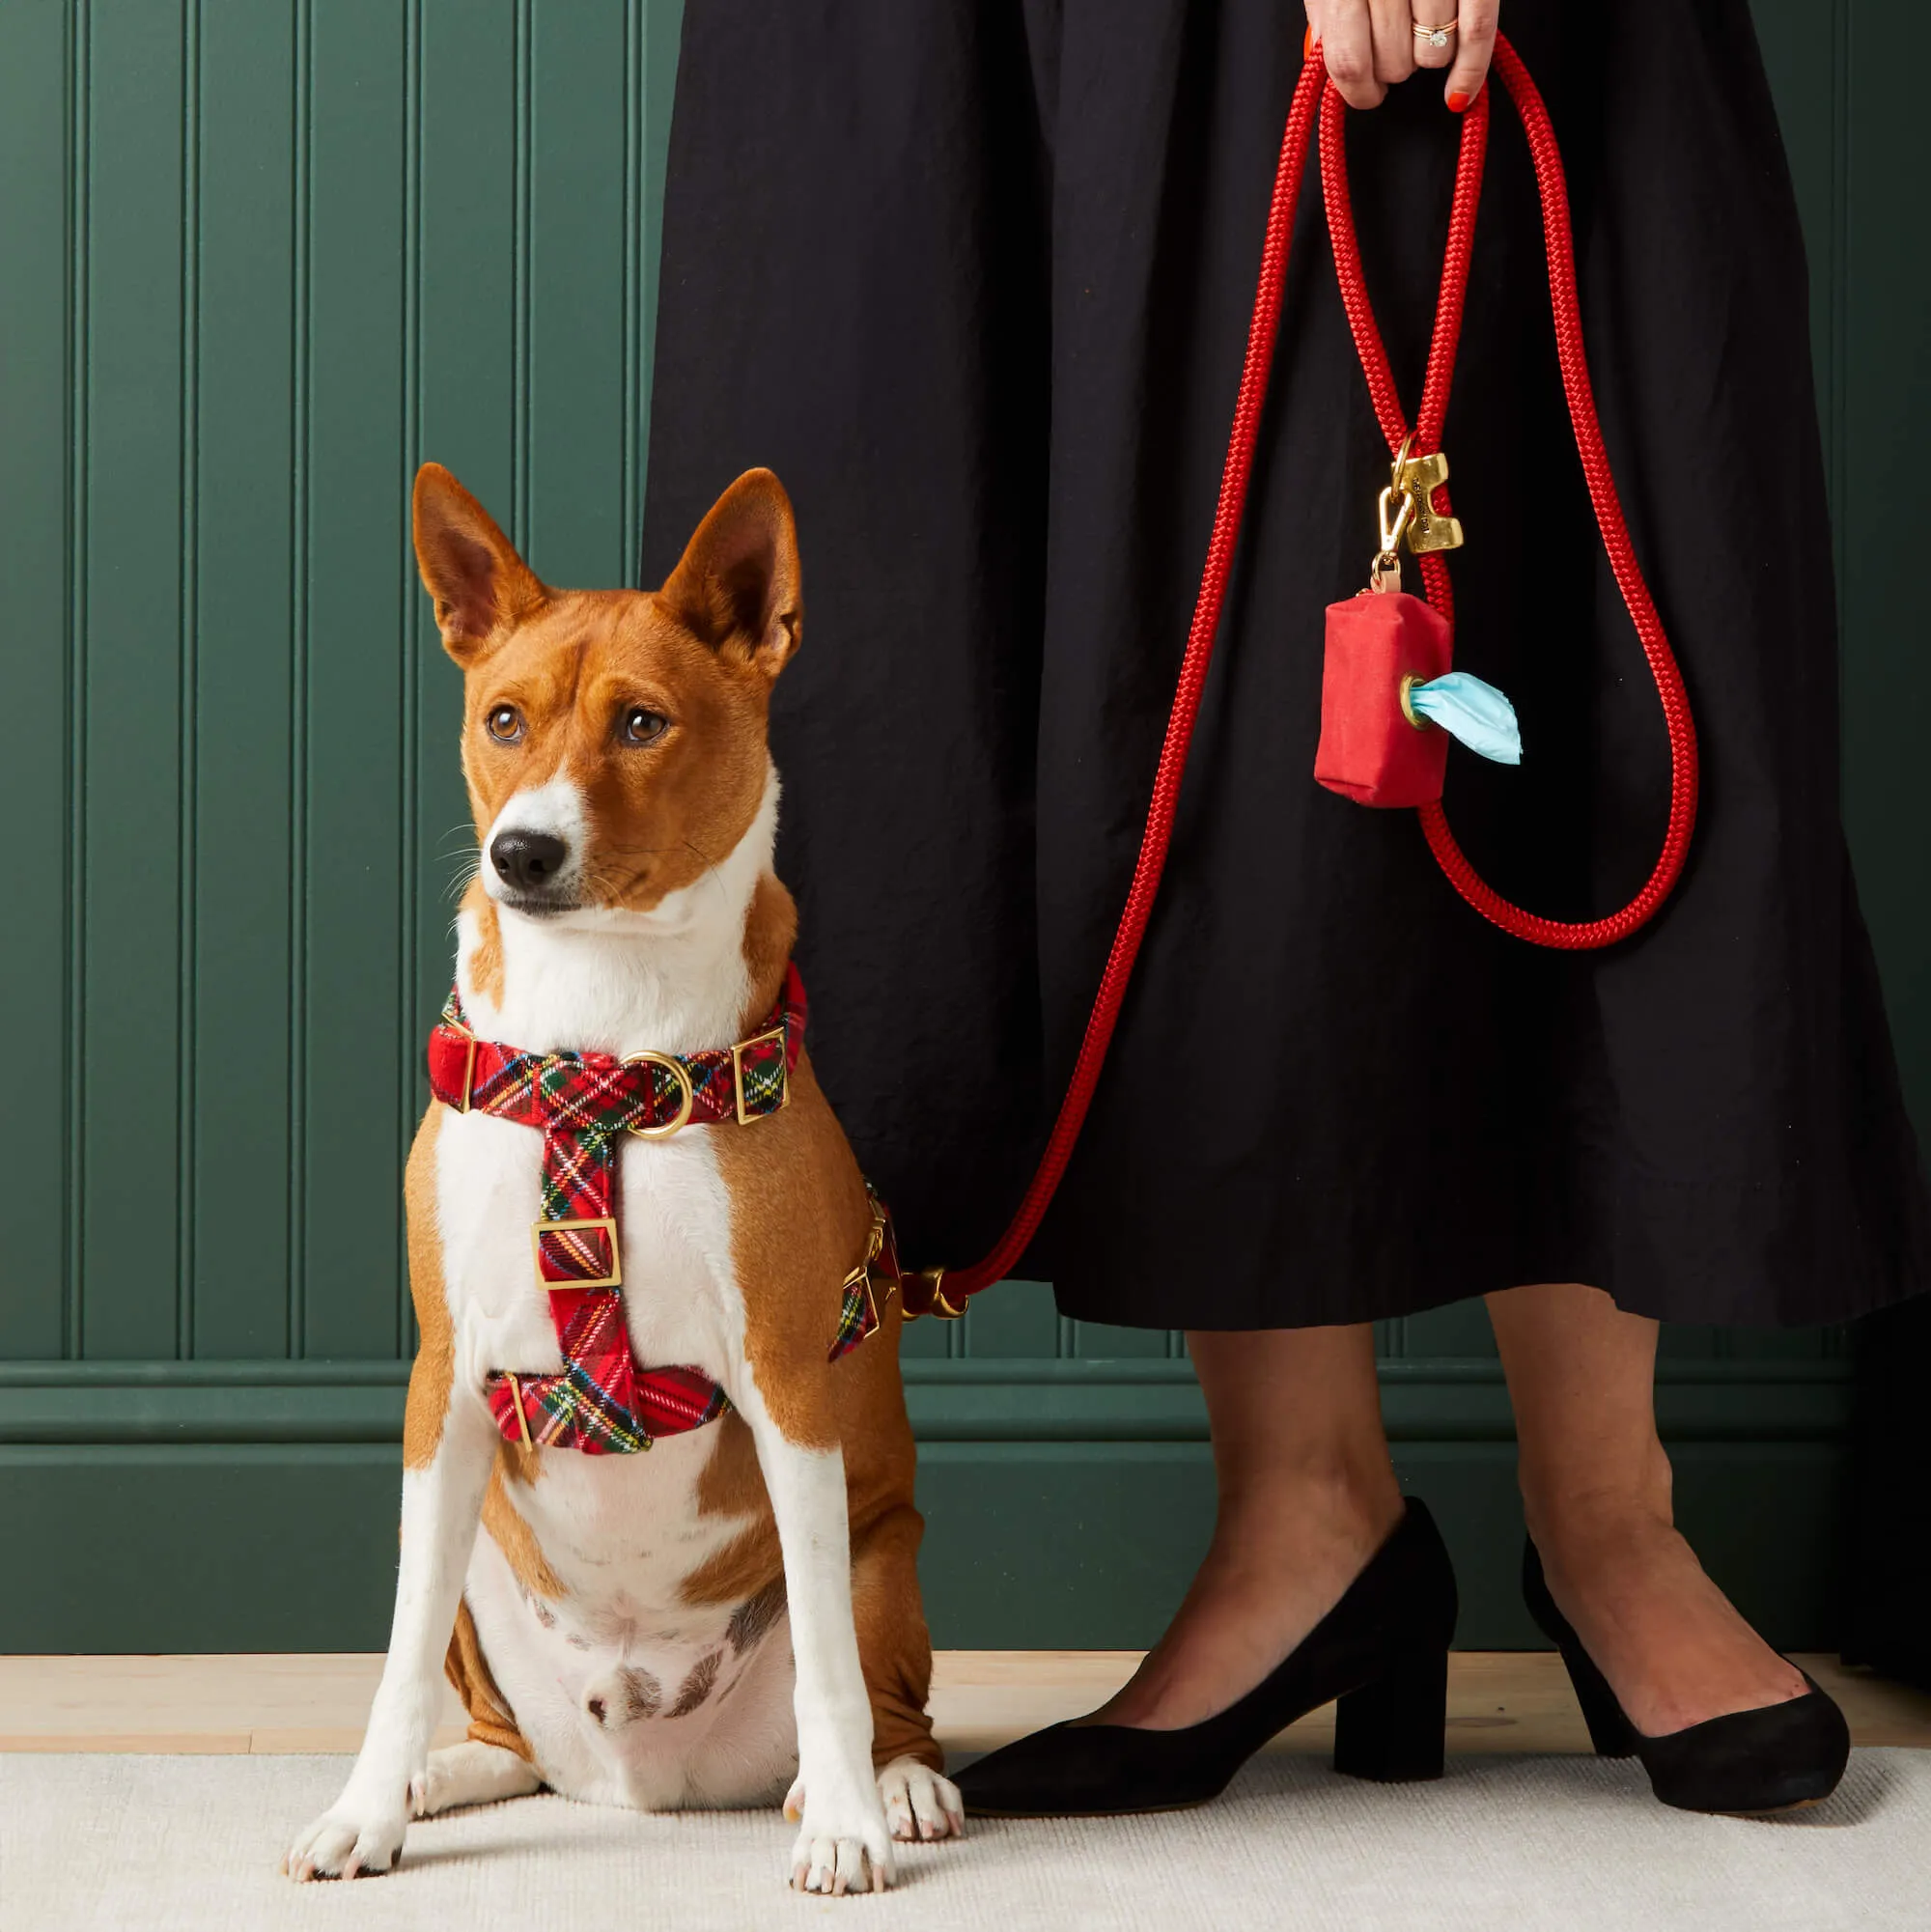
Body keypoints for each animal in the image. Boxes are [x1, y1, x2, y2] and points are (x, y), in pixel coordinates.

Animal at [286, 463, 966, 1885]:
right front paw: (365, 1811)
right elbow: (391, 1662)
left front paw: (851, 1832)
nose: (521, 854)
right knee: (496, 1723)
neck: (599, 1036)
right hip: (476, 1558)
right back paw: (443, 1776)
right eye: (503, 719)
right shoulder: (445, 1386)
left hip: (885, 1551)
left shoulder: (788, 1390)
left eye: (643, 723)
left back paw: (883, 1790)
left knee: (879, 1695)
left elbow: (828, 1670)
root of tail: (640, 1774)